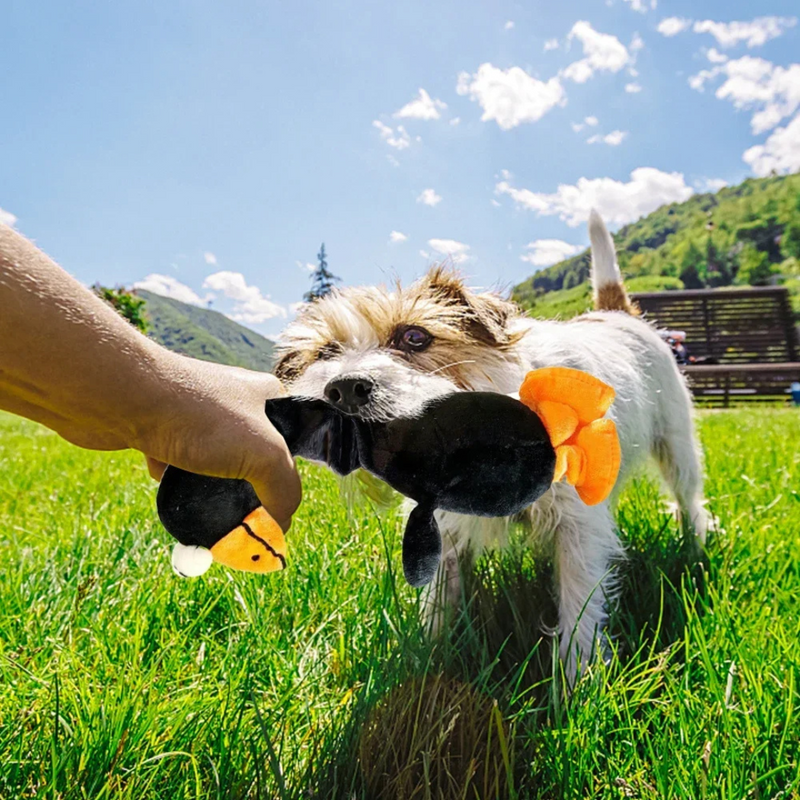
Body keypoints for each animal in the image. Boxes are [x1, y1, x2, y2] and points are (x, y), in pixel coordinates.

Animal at [274, 209, 708, 680]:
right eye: (325, 353)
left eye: (414, 337)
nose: (342, 389)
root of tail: (614, 313)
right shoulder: (442, 525)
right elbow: (438, 600)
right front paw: (428, 658)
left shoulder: (578, 526)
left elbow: (579, 602)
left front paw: (577, 679)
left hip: (678, 445)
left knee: (688, 498)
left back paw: (695, 545)